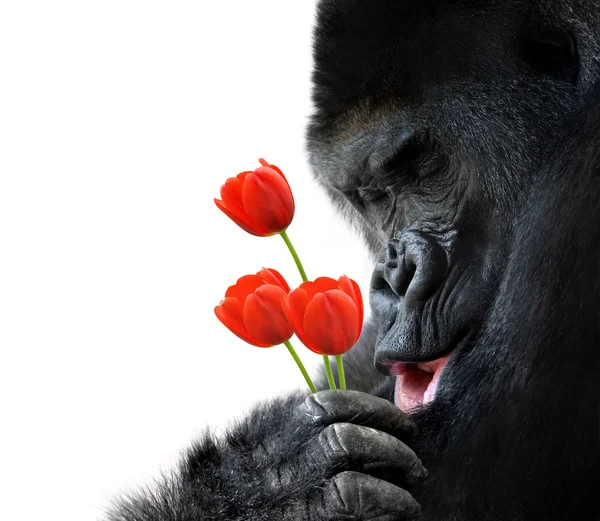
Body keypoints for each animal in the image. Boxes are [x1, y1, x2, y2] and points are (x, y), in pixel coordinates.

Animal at [109, 0, 600, 516]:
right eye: (374, 195)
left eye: (423, 171)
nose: (394, 279)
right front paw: (276, 481)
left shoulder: (578, 194)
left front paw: (281, 484)